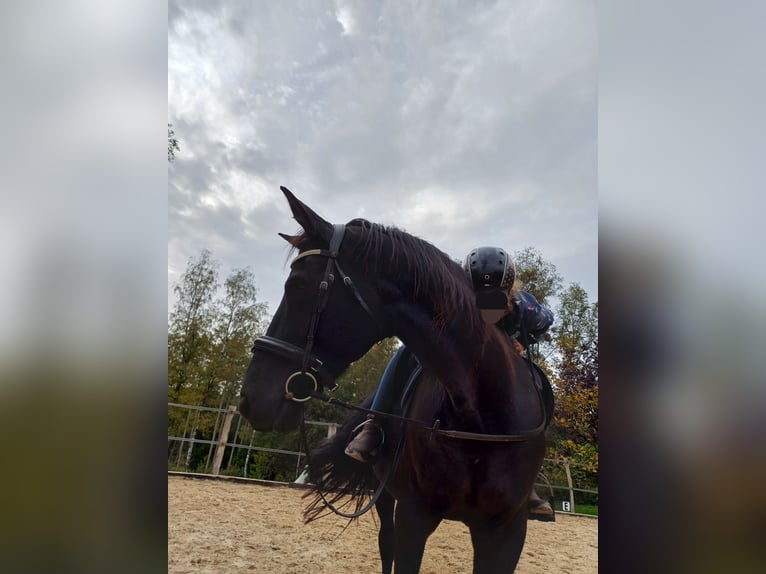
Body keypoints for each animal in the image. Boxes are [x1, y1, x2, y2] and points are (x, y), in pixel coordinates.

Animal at [239, 186, 549, 574]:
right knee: (385, 544)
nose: (250, 399)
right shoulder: (413, 518)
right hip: (385, 495)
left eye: (296, 285)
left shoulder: (507, 532)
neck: (481, 418)